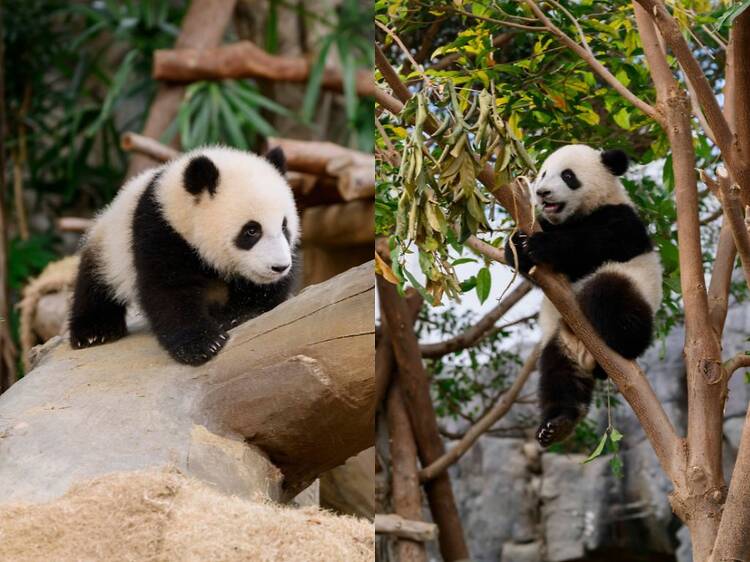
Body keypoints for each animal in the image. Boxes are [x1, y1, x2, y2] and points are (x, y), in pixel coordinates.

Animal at [69, 146, 299, 366]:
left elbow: (268, 293)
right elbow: (169, 291)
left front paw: (237, 315)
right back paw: (95, 332)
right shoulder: (159, 230)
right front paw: (202, 344)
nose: (279, 267)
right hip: (108, 247)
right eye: (251, 231)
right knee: (95, 284)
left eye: (284, 226)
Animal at [505, 144, 662, 447]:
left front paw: (542, 245)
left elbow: (597, 243)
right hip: (560, 342)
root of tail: (587, 355)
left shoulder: (623, 220)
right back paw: (557, 425)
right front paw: (517, 243)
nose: (542, 192)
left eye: (568, 176)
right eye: (544, 173)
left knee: (608, 294)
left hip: (632, 284)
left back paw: (625, 339)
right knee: (559, 378)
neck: (578, 214)